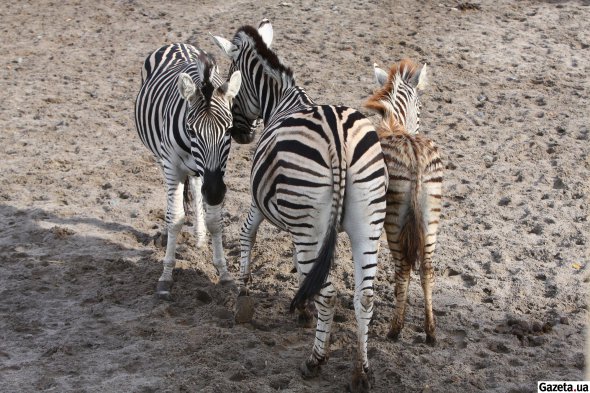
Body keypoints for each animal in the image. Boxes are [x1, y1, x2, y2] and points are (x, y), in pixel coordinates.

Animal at [135, 43, 242, 298]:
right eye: (192, 130)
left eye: (229, 129)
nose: (214, 193)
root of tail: (177, 44)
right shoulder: (173, 166)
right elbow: (175, 218)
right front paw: (166, 276)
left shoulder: (217, 171)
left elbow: (215, 220)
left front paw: (224, 272)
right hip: (161, 156)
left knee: (195, 186)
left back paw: (200, 236)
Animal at [213, 19, 388, 390]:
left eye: (231, 80)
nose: (240, 134)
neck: (283, 101)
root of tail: (337, 135)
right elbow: (301, 267)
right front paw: (303, 308)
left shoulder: (259, 203)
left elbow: (247, 235)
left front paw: (244, 297)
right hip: (367, 221)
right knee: (364, 296)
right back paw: (361, 372)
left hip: (312, 225)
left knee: (329, 293)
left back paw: (314, 361)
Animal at [366, 59, 444, 344]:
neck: (394, 123)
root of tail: (414, 156)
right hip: (430, 217)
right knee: (427, 270)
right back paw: (430, 331)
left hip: (394, 220)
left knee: (402, 269)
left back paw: (395, 329)